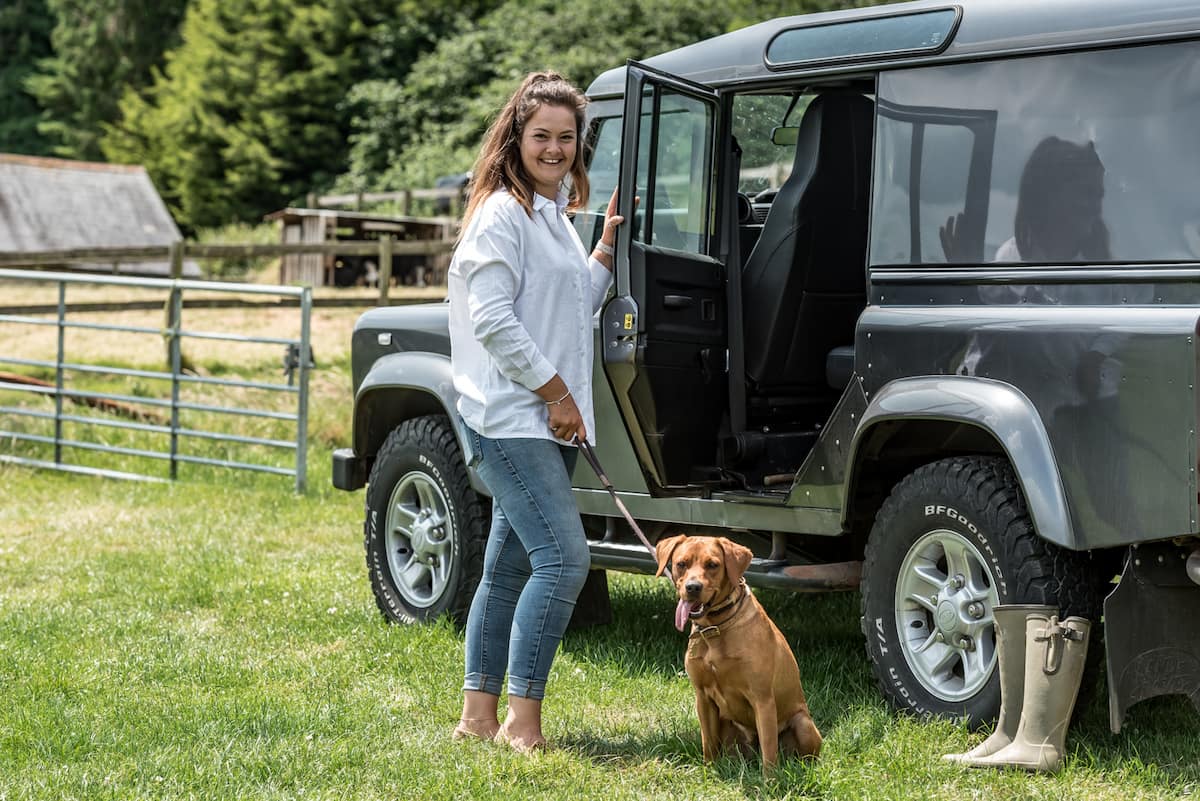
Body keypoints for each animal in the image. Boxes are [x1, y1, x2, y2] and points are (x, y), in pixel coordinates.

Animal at [652, 534, 820, 772]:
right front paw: (709, 771)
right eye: (681, 564)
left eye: (713, 565)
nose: (693, 587)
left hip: (803, 723)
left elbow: (770, 753)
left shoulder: (763, 699)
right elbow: (707, 743)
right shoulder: (703, 698)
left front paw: (770, 780)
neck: (716, 628)